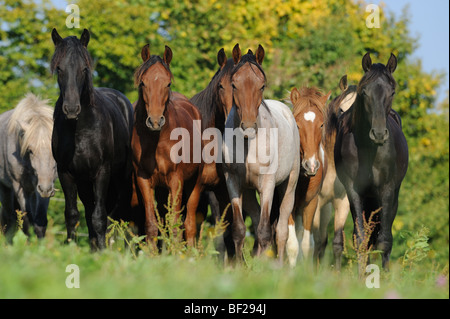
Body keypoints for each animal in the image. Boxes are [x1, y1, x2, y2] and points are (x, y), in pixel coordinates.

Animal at [50, 28, 134, 251]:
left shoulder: (102, 171)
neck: (79, 129)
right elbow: (72, 215)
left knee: (122, 215)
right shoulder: (66, 173)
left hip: (121, 179)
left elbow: (99, 217)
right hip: (85, 182)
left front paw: (104, 251)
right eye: (59, 69)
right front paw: (72, 248)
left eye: (84, 68)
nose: (71, 109)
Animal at [132, 44, 204, 248]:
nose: (155, 121)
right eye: (143, 83)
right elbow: (151, 224)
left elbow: (175, 225)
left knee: (189, 225)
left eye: (168, 83)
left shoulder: (176, 180)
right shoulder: (143, 179)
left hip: (195, 183)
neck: (157, 140)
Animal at [221, 45, 298, 264]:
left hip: (289, 186)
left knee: (280, 229)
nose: (248, 126)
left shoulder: (268, 184)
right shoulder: (233, 182)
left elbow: (266, 230)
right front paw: (240, 265)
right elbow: (240, 229)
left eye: (262, 86)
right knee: (256, 221)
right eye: (234, 84)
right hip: (248, 192)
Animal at [284, 85, 330, 268]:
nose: (311, 165)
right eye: (297, 125)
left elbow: (306, 245)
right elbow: (291, 245)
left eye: (322, 124)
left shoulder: (311, 203)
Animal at [334, 52, 408, 270]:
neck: (369, 149)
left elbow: (384, 241)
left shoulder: (387, 189)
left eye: (392, 92)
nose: (379, 134)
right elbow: (360, 238)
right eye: (365, 92)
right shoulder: (354, 190)